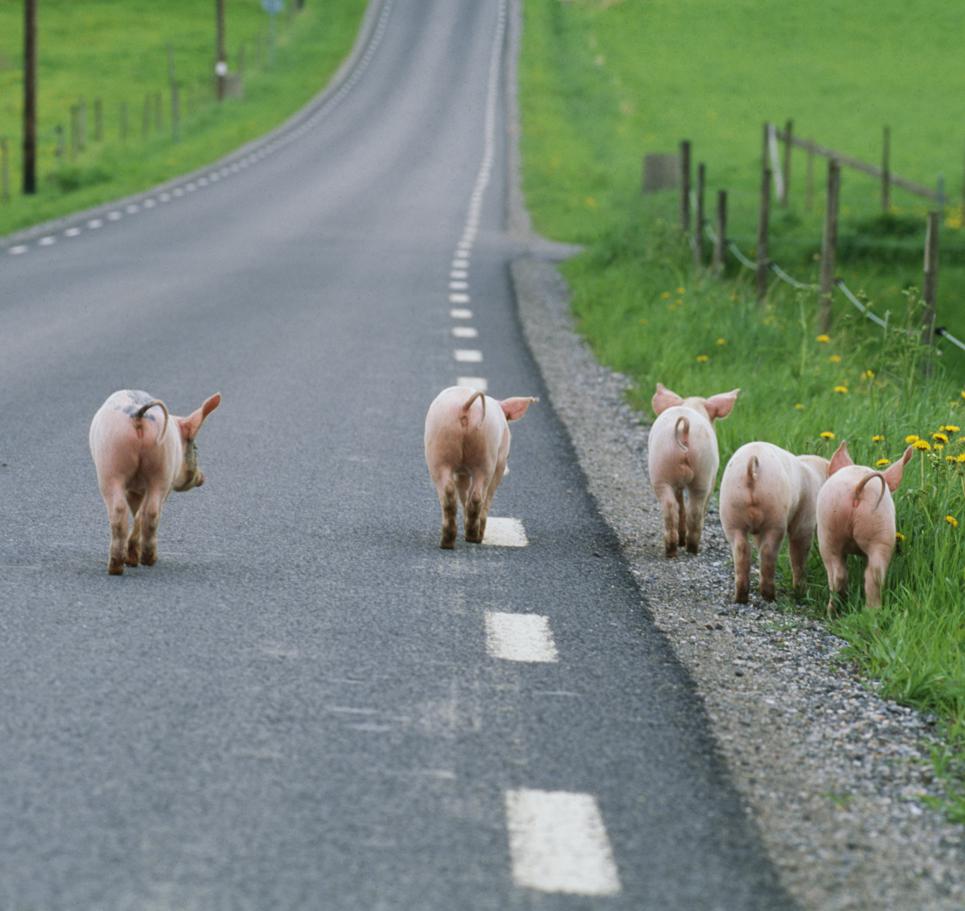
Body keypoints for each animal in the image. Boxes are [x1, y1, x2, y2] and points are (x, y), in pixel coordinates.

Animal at [89, 389, 222, 574]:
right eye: (196, 448)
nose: (203, 478)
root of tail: (138, 415)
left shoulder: (136, 488)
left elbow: (137, 511)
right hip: (152, 468)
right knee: (147, 511)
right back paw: (137, 563)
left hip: (112, 462)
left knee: (128, 511)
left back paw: (122, 566)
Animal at [424, 386, 537, 549]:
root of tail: (465, 407)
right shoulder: (501, 462)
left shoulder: (461, 472)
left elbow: (463, 489)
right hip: (486, 453)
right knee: (479, 495)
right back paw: (475, 538)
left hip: (439, 445)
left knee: (449, 492)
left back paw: (447, 542)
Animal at [648, 383, 739, 557]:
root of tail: (684, 429)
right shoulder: (713, 477)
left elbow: (680, 502)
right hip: (703, 469)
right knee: (695, 509)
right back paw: (692, 549)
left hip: (662, 465)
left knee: (673, 506)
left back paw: (674, 549)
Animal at [719, 442, 829, 603]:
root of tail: (752, 466)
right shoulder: (806, 517)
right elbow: (798, 552)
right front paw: (800, 592)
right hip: (775, 513)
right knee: (768, 550)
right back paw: (770, 596)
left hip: (731, 510)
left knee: (741, 549)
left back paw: (741, 598)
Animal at [816, 441, 914, 613]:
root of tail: (858, 488)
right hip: (879, 530)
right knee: (874, 573)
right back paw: (871, 611)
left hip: (827, 531)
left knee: (837, 573)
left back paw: (832, 611)